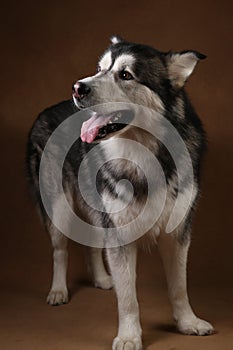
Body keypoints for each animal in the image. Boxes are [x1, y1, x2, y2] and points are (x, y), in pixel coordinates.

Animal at [26, 37, 214, 348]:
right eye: (100, 69)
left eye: (126, 75)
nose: (77, 87)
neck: (143, 153)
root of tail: (46, 110)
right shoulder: (120, 233)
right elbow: (128, 298)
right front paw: (129, 336)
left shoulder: (177, 232)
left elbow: (179, 287)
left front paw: (188, 323)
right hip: (59, 208)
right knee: (60, 250)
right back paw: (58, 290)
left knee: (91, 244)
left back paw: (102, 279)